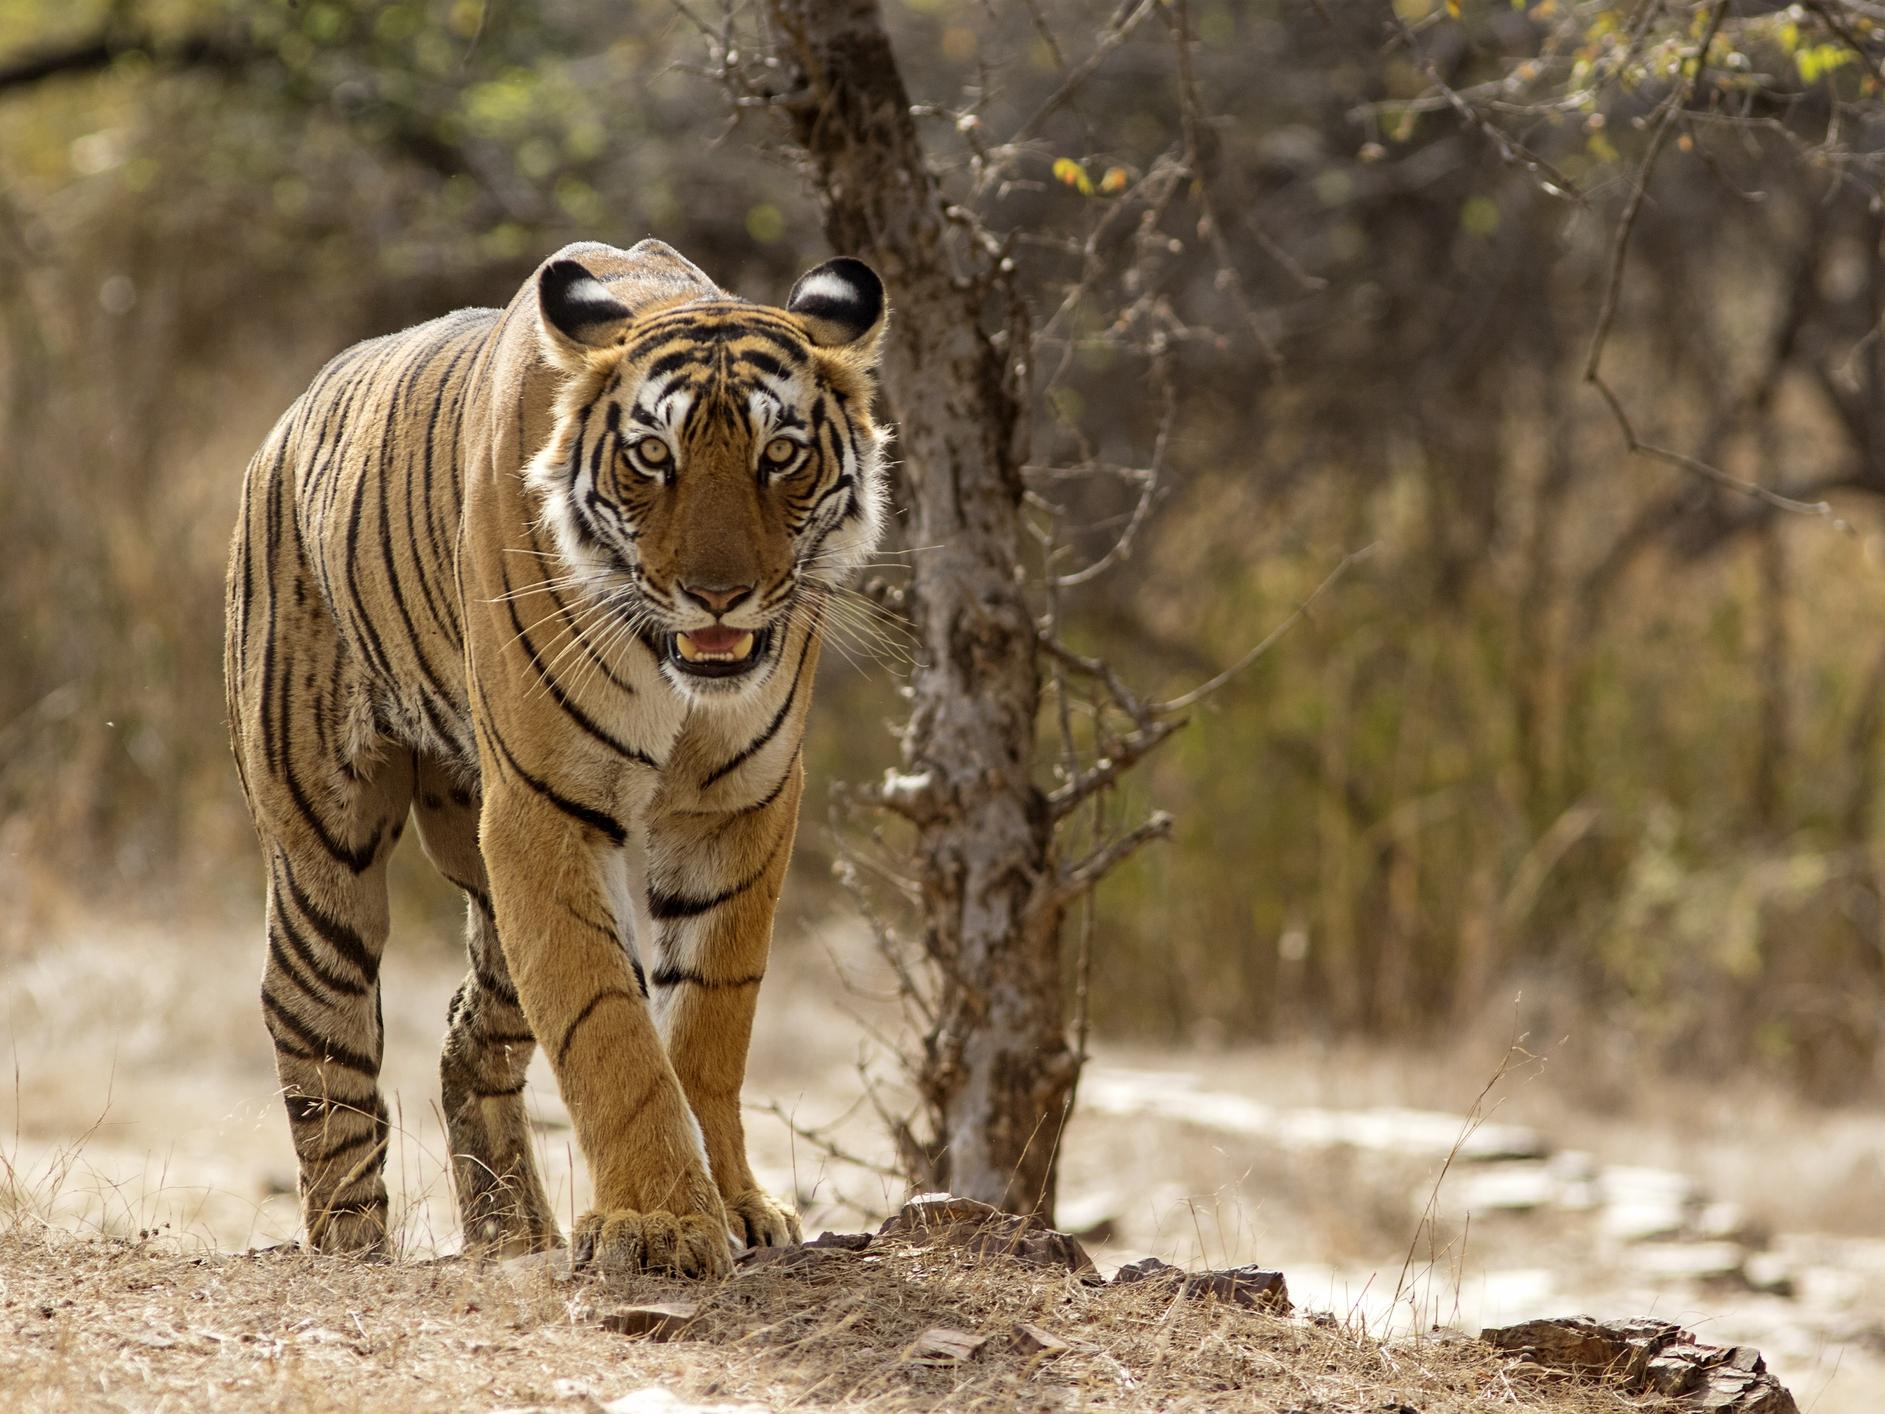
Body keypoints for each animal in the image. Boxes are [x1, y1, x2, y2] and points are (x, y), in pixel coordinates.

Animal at [222, 238, 889, 1282]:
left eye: (779, 454)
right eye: (652, 457)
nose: (718, 596)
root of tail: (287, 424)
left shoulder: (739, 807)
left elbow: (707, 1021)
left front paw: (735, 1206)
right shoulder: (545, 810)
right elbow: (606, 1024)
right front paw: (658, 1222)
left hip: (484, 892)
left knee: (469, 1040)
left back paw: (512, 1235)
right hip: (322, 841)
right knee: (316, 1028)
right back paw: (353, 1249)